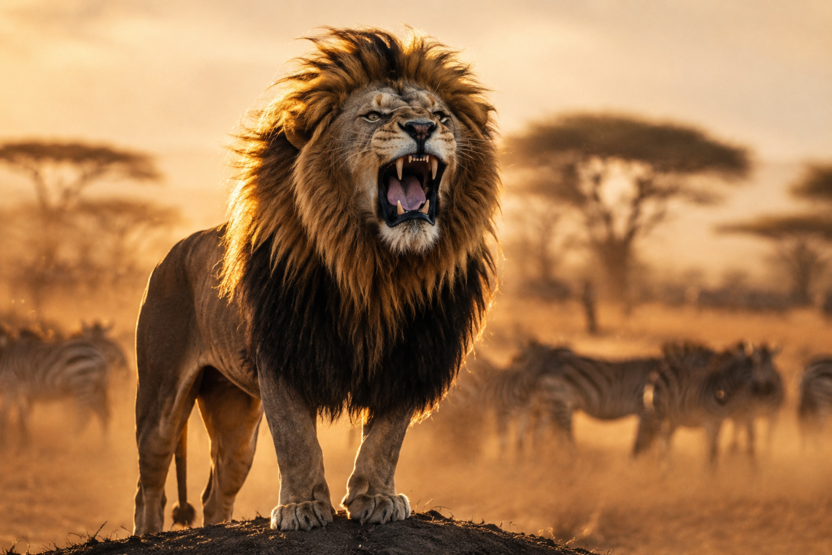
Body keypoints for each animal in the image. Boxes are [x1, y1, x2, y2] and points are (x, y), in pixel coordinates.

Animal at [132, 28, 500, 534]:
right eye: (374, 115)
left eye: (442, 117)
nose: (422, 128)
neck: (376, 265)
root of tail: (168, 255)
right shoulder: (282, 349)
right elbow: (295, 439)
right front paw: (302, 507)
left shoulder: (411, 354)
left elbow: (386, 437)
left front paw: (375, 498)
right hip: (161, 394)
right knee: (149, 483)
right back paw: (146, 534)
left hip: (234, 415)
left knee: (216, 491)